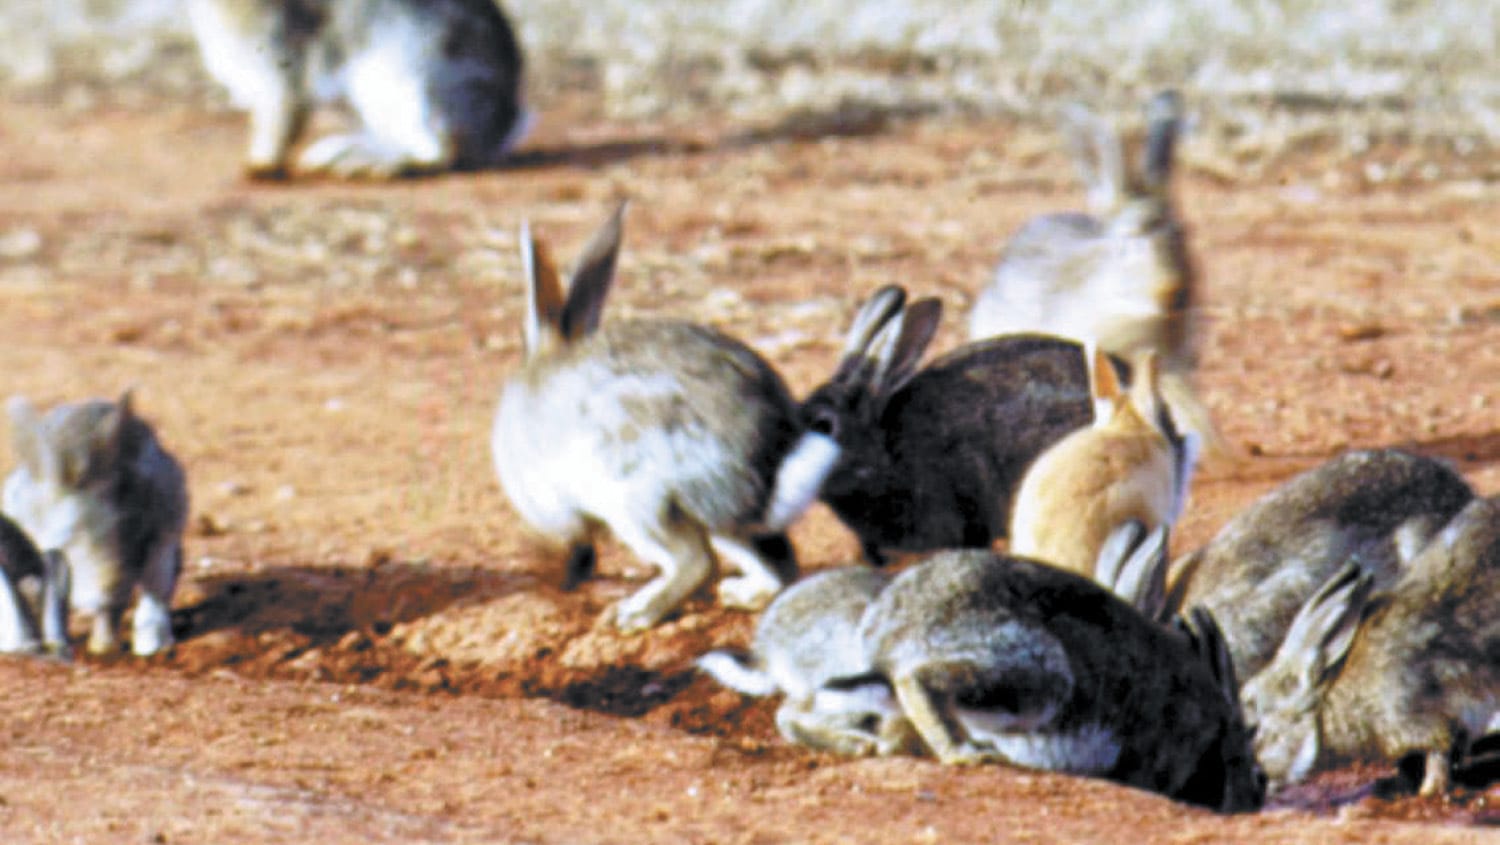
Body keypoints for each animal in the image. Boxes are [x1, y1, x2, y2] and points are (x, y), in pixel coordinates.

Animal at [187, 0, 530, 179]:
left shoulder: (281, 62)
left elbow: (282, 114)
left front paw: (258, 167)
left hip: (402, 80)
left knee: (438, 153)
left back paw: (361, 162)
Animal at [492, 204, 841, 632]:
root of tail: (768, 466)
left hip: (635, 496)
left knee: (697, 562)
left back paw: (635, 613)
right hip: (715, 521)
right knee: (777, 567)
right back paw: (738, 594)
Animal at [858, 548, 1264, 812]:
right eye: (1257, 773)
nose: (1256, 798)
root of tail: (889, 625)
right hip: (1039, 676)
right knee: (919, 679)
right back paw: (966, 754)